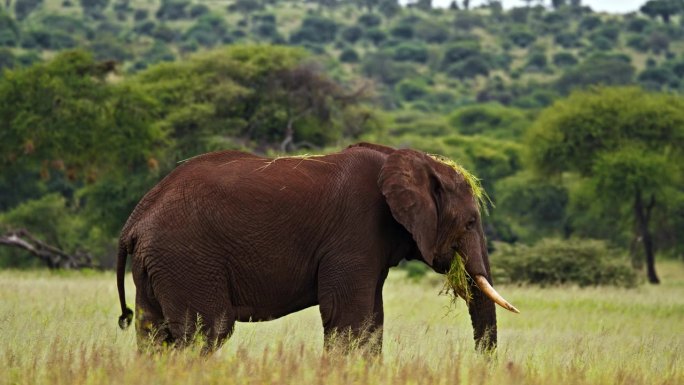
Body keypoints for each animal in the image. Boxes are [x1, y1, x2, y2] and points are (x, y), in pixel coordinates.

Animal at [116, 142, 520, 354]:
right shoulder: (354, 232)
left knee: (153, 334)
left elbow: (371, 321)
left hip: (160, 264)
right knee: (207, 331)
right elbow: (349, 319)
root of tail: (135, 219)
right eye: (471, 222)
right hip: (187, 258)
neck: (408, 159)